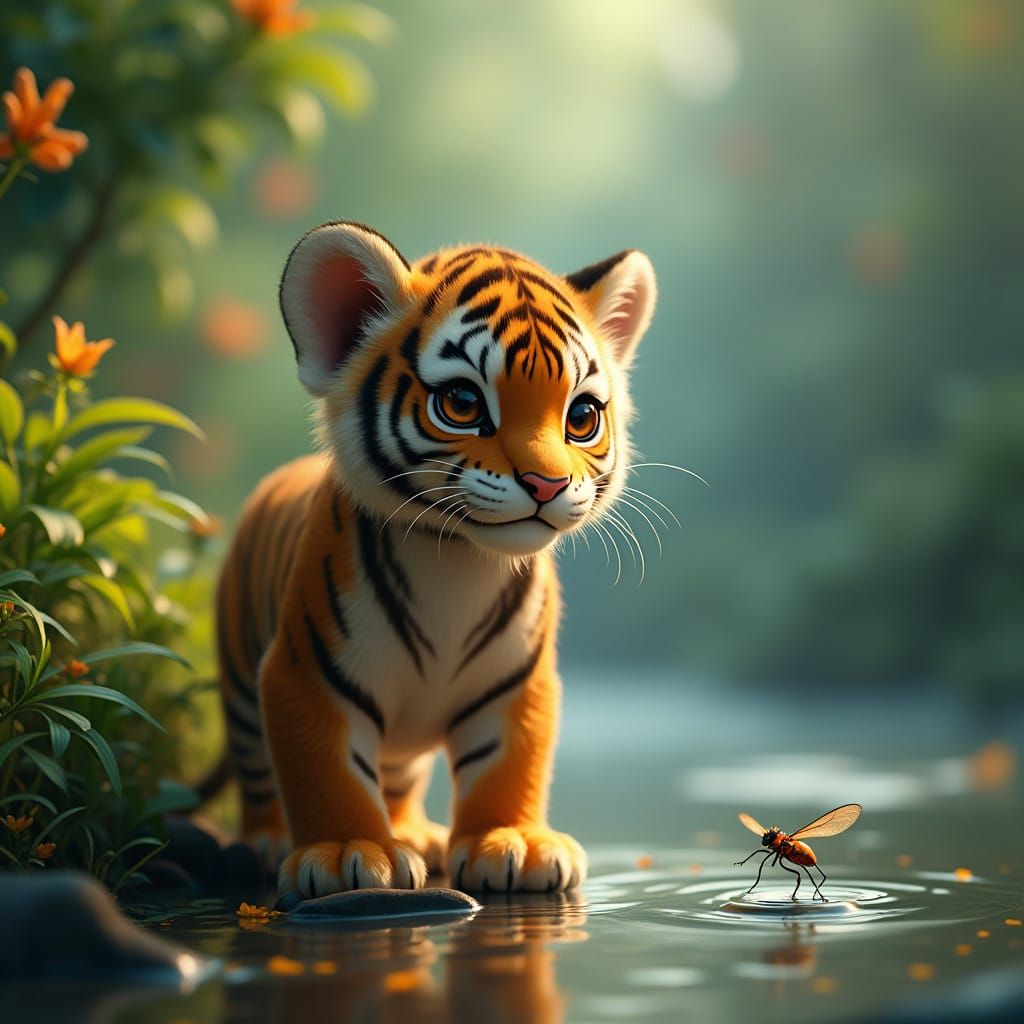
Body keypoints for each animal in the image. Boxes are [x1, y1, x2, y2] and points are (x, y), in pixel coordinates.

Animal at [215, 221, 657, 899]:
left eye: (581, 417)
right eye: (463, 404)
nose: (549, 483)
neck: (458, 559)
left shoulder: (517, 684)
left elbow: (508, 763)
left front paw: (514, 843)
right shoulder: (304, 673)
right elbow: (326, 768)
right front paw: (349, 851)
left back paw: (412, 834)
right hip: (241, 681)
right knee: (259, 774)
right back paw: (267, 841)